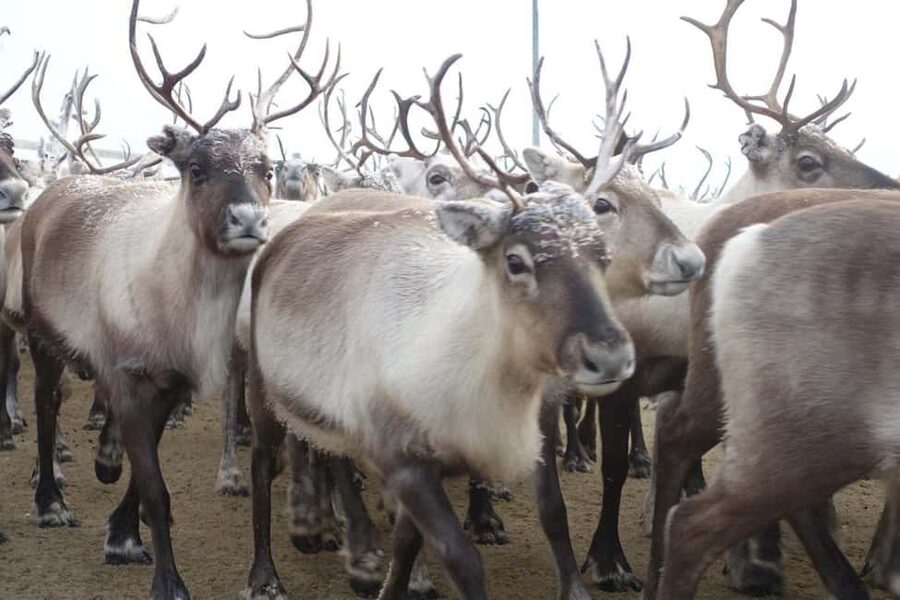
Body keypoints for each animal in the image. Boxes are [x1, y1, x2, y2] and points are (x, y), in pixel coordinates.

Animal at [5, 1, 336, 597]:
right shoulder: (129, 376)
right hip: (40, 334)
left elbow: (146, 473)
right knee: (46, 404)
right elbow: (156, 488)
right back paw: (51, 500)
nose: (249, 219)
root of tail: (57, 189)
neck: (181, 312)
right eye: (196, 168)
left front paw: (121, 530)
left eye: (267, 168)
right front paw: (166, 578)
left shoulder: (171, 383)